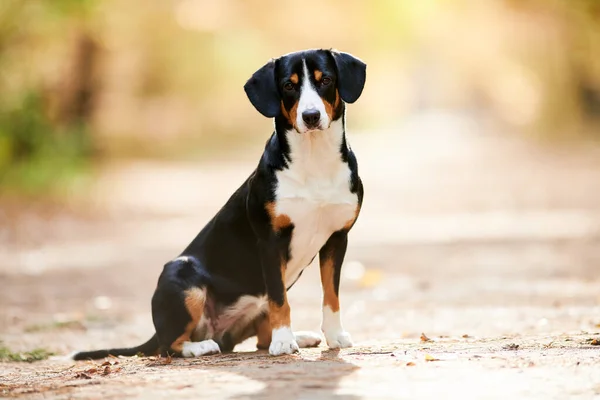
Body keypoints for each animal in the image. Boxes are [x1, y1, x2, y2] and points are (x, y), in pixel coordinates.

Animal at [73, 48, 368, 358]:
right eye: (289, 85)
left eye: (326, 81)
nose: (311, 116)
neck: (314, 160)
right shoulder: (270, 241)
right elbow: (279, 298)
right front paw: (284, 341)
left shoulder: (337, 238)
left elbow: (330, 295)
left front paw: (334, 335)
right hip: (181, 274)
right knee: (169, 345)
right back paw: (201, 346)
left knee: (260, 338)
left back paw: (299, 336)